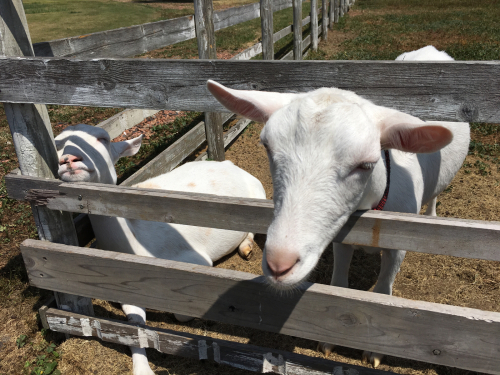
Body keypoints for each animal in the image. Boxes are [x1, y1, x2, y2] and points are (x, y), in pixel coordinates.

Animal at [54, 124, 266, 375]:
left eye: (103, 138)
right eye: (56, 143)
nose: (68, 160)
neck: (134, 241)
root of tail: (229, 163)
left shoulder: (195, 260)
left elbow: (181, 313)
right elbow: (134, 323)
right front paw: (142, 368)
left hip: (259, 192)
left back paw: (247, 247)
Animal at [206, 45, 468, 368]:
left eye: (366, 164)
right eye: (266, 146)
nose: (279, 264)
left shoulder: (399, 245)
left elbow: (383, 291)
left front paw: (374, 352)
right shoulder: (342, 235)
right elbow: (339, 286)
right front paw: (329, 340)